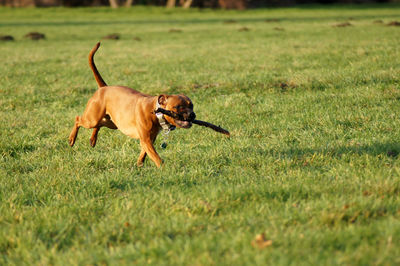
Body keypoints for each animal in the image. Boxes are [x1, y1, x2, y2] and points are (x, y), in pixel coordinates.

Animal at [69, 42, 197, 167]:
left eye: (191, 106)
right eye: (178, 107)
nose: (192, 115)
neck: (155, 111)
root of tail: (104, 88)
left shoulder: (150, 139)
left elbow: (144, 153)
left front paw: (139, 164)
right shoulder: (146, 139)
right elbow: (156, 157)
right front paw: (164, 168)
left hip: (112, 123)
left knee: (99, 125)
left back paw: (93, 139)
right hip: (92, 119)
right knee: (78, 119)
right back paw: (72, 138)